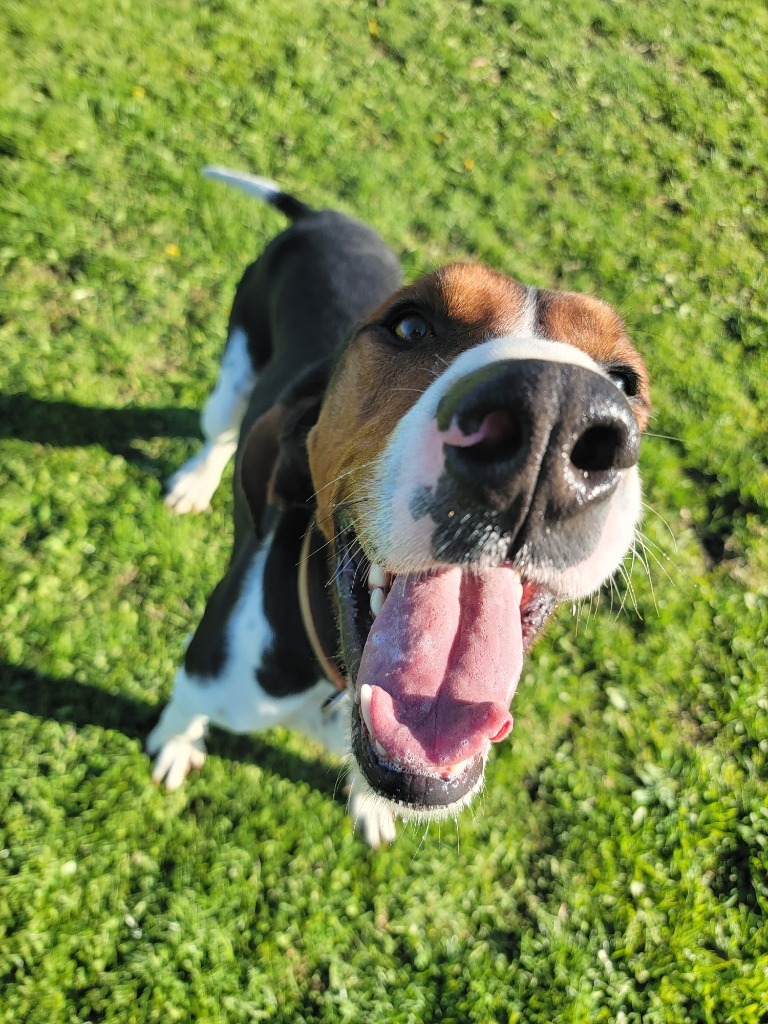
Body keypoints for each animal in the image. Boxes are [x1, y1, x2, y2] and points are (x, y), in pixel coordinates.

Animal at [147, 169, 651, 847]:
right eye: (411, 326)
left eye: (625, 380)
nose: (557, 414)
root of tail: (320, 216)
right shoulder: (203, 671)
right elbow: (181, 714)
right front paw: (175, 746)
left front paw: (371, 807)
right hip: (235, 364)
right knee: (219, 432)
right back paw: (195, 483)